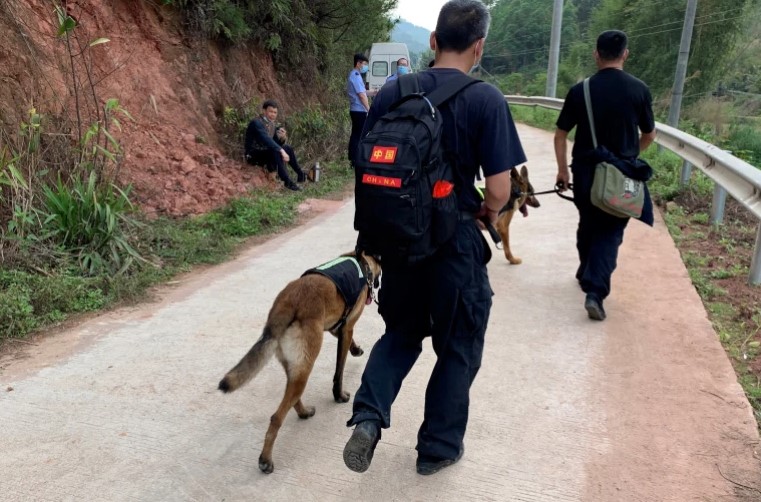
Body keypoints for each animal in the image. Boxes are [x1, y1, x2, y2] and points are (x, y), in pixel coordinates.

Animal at [217, 251, 380, 474]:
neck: (362, 263)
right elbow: (339, 370)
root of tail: (285, 304)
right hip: (305, 365)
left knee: (292, 398)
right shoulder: (347, 328)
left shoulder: (335, 327)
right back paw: (265, 460)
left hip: (296, 367)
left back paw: (303, 412)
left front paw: (356, 349)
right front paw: (339, 395)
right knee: (277, 417)